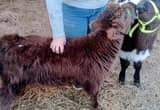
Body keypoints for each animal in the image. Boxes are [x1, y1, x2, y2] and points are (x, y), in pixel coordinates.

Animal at [0, 2, 135, 110]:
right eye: (121, 13)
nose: (130, 4)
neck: (99, 47)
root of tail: (10, 42)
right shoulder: (94, 79)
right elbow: (94, 95)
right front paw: (96, 106)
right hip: (11, 79)